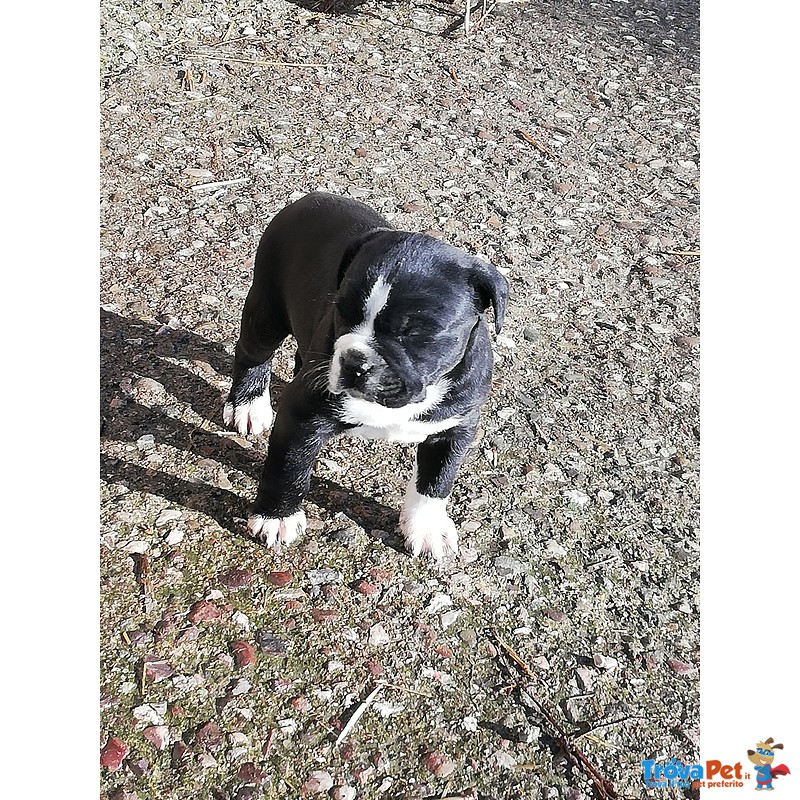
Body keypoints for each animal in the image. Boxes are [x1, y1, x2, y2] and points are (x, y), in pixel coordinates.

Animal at [222, 191, 510, 560]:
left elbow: (437, 479)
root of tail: (312, 196)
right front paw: (276, 517)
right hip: (267, 308)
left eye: (415, 332)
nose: (355, 362)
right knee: (254, 351)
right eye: (341, 311)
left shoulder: (455, 427)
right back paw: (248, 405)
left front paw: (427, 527)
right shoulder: (302, 416)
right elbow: (288, 467)